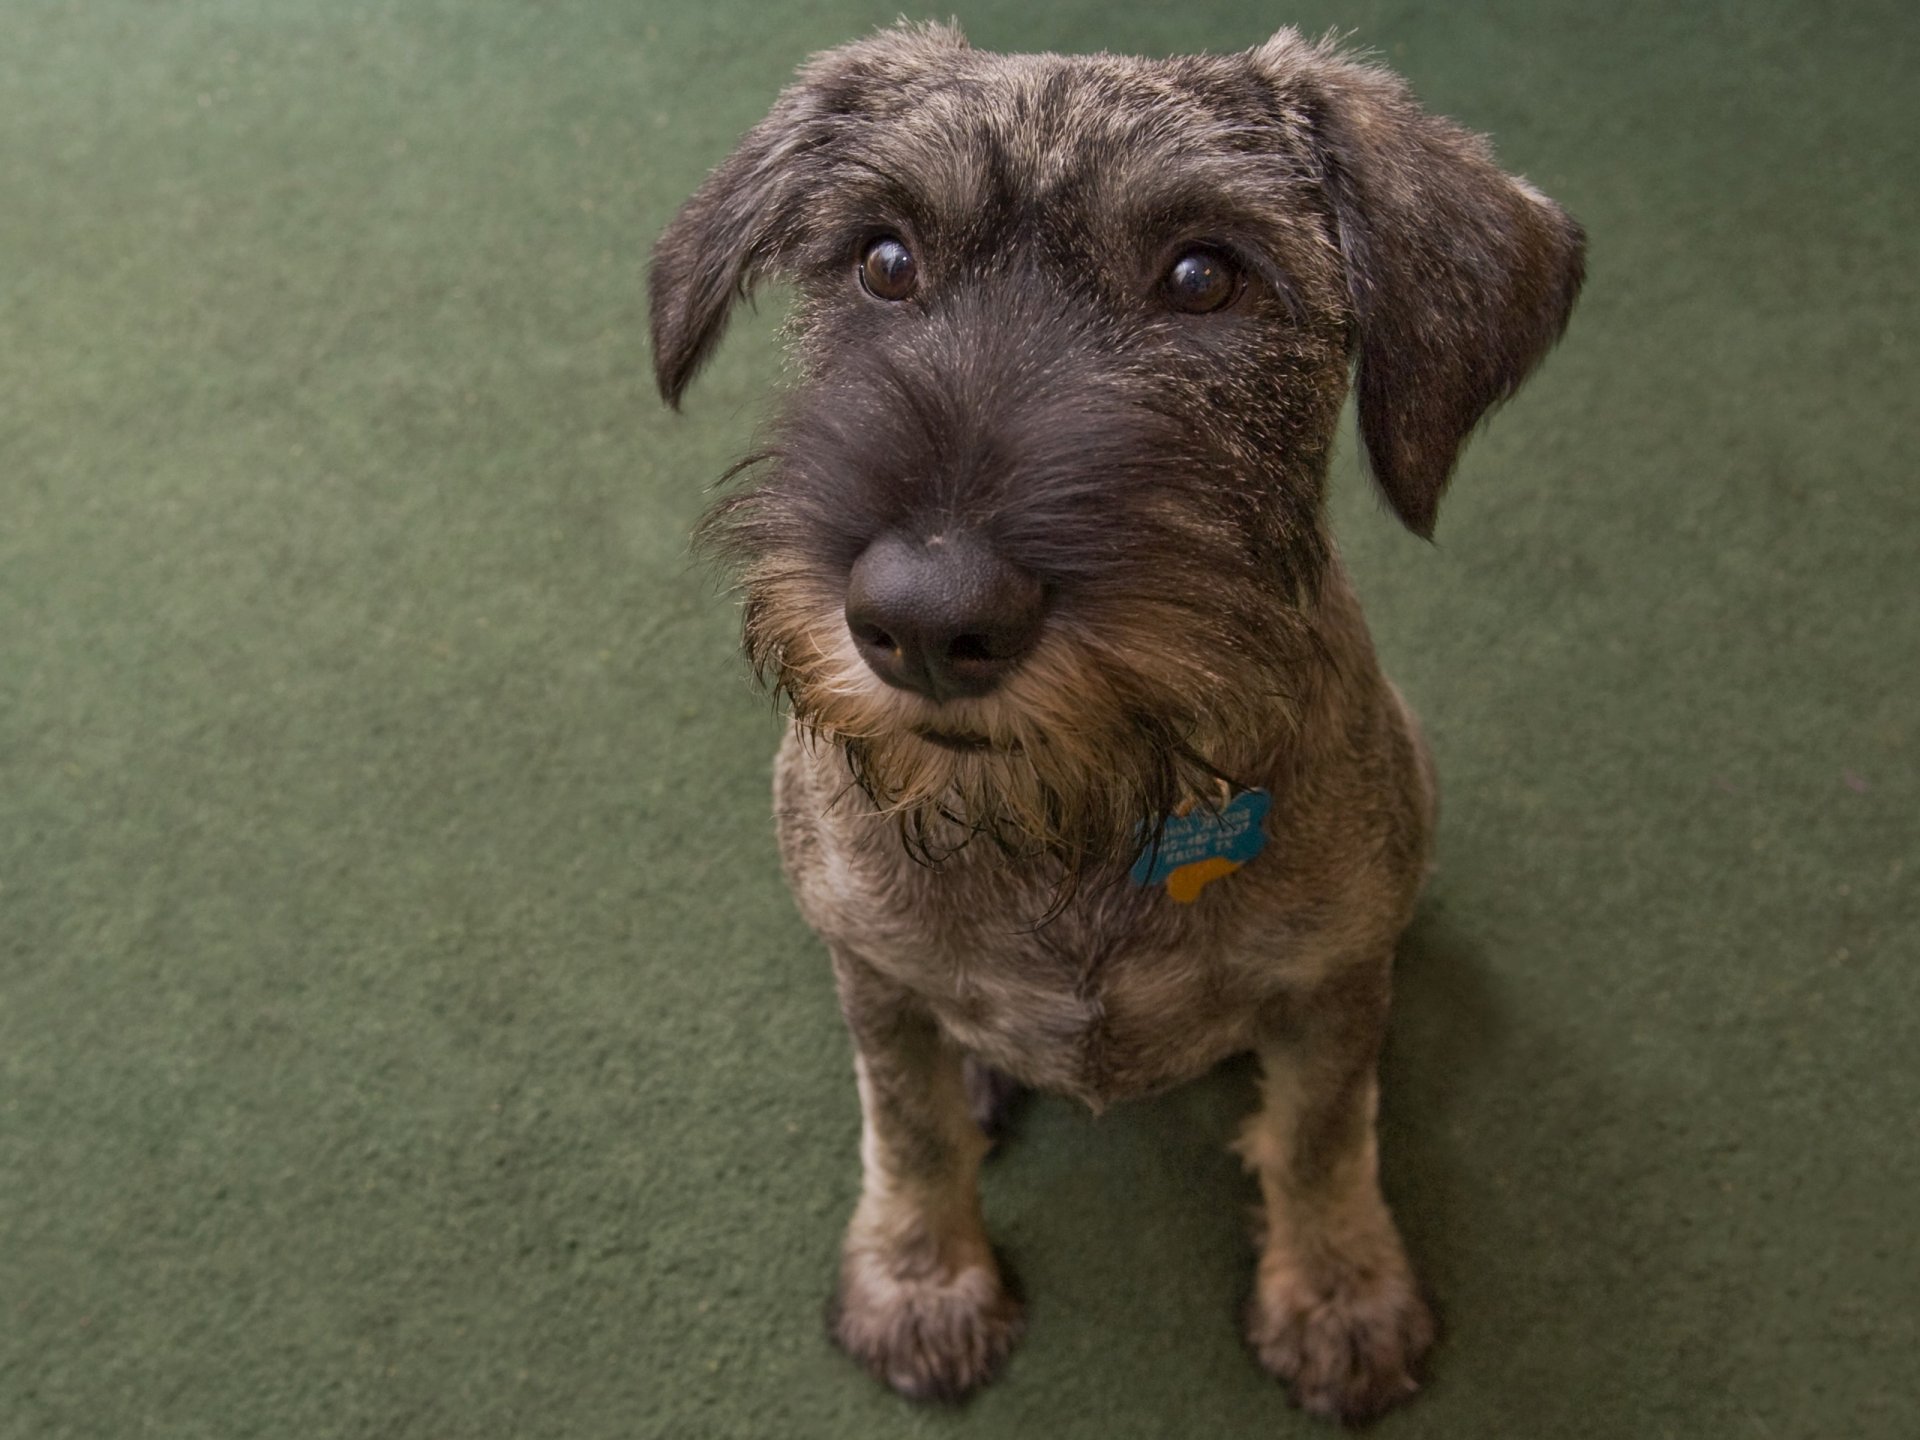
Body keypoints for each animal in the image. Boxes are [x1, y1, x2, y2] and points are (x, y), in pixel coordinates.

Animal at [652, 19, 1582, 1420]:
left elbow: (1323, 1136)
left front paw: (1339, 1290)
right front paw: (923, 1278)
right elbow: (908, 1128)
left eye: (1203, 276)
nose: (925, 619)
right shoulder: (871, 967)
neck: (1073, 817)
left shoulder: (1330, 987)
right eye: (883, 260)